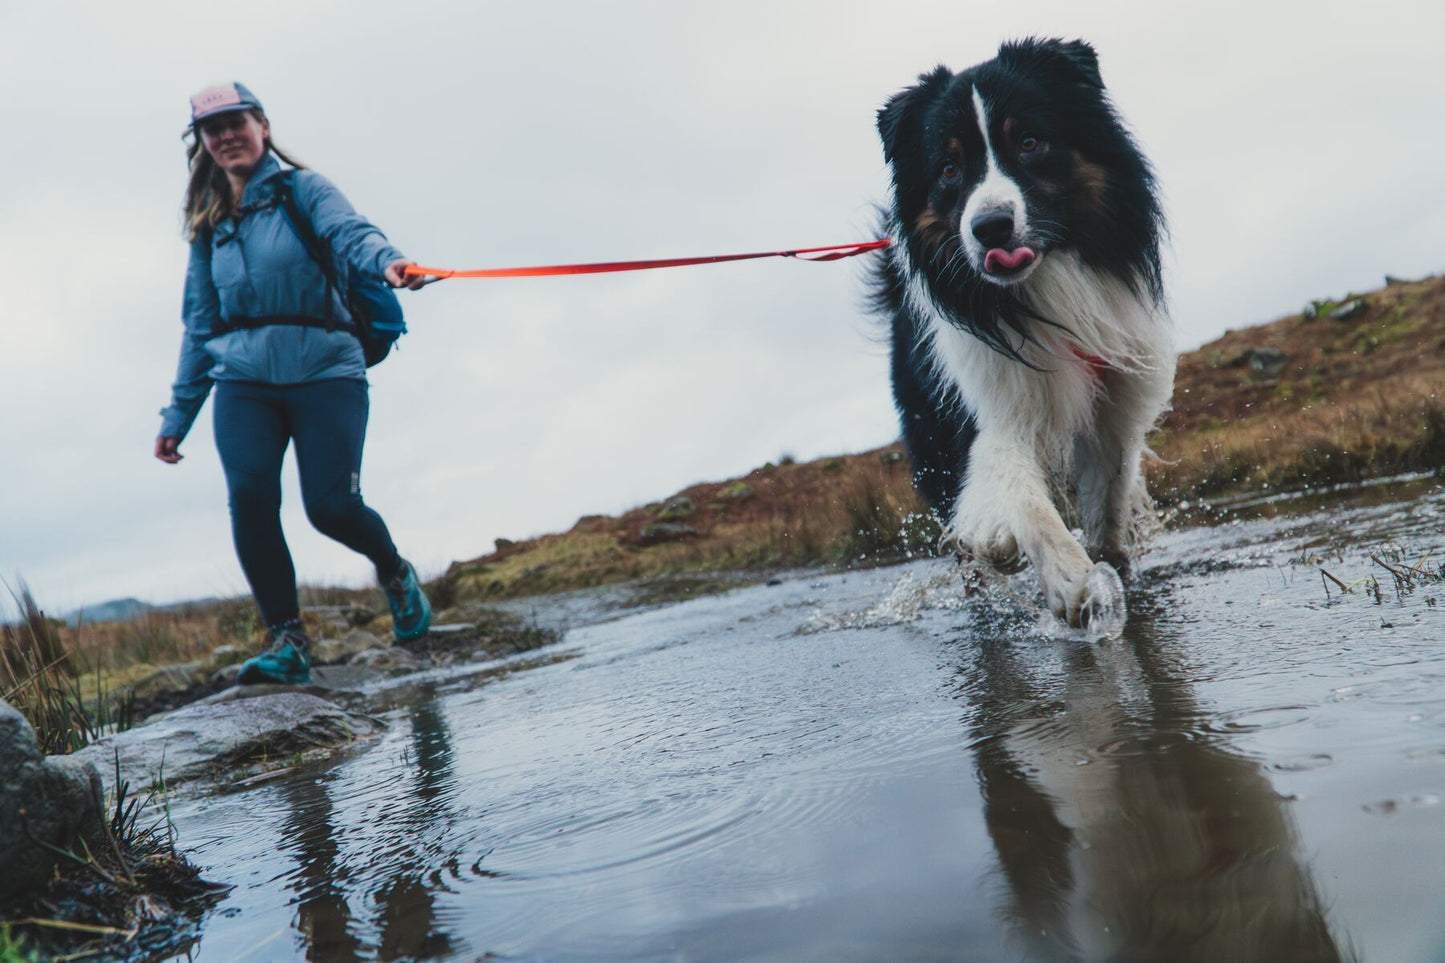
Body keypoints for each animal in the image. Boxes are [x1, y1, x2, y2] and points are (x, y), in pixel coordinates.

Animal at [867, 37, 1173, 627]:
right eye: (948, 168)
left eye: (1029, 142)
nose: (991, 228)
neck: (1041, 288)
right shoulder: (990, 406)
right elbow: (1021, 499)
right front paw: (1075, 586)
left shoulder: (1117, 388)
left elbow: (1112, 484)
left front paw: (1110, 560)